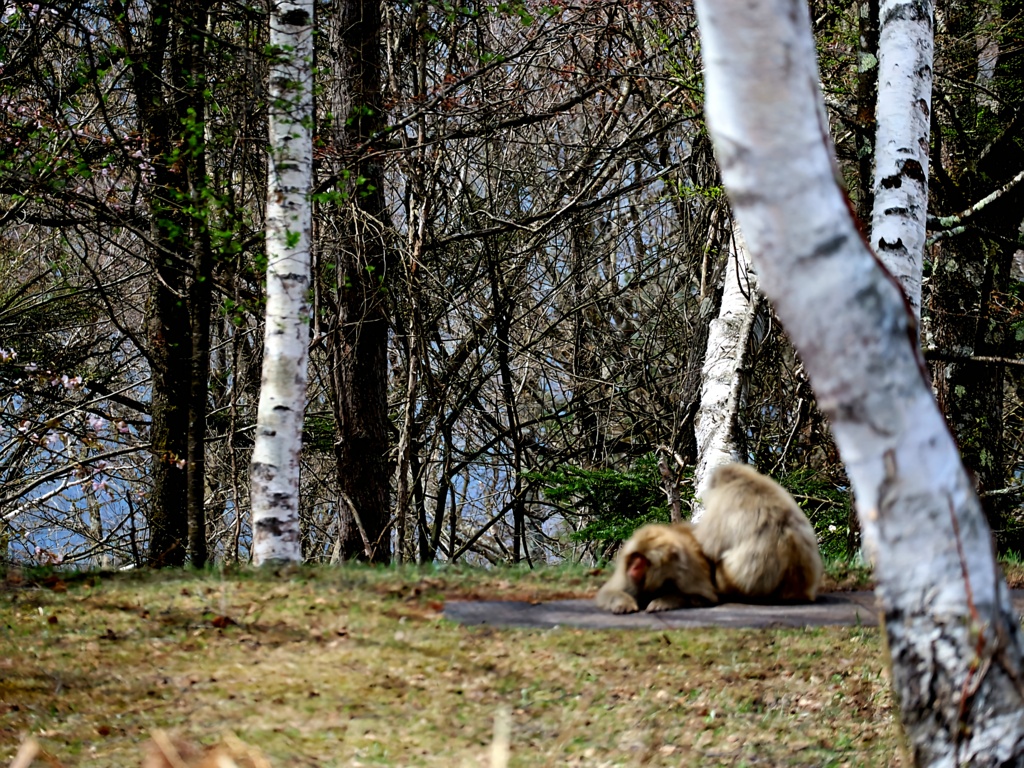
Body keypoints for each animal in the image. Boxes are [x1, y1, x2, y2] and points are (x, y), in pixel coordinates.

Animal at [593, 462, 823, 618]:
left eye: (640, 562)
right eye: (634, 561)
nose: (632, 567)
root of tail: (797, 594)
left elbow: (707, 546)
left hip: (733, 584)